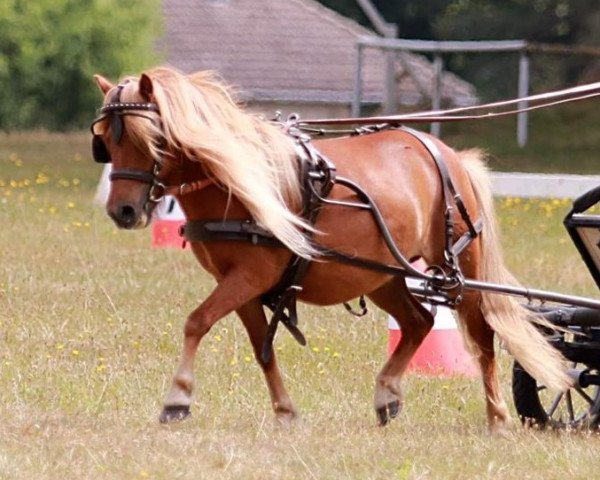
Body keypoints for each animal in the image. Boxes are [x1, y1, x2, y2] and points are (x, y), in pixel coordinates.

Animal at [92, 66, 568, 432]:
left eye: (149, 138)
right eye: (107, 143)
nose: (123, 211)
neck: (233, 181)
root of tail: (448, 155)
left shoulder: (251, 276)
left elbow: (196, 322)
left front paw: (177, 399)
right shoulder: (240, 283)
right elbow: (259, 348)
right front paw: (285, 412)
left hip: (458, 266)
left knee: (483, 337)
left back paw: (497, 417)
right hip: (381, 273)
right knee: (418, 322)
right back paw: (387, 395)